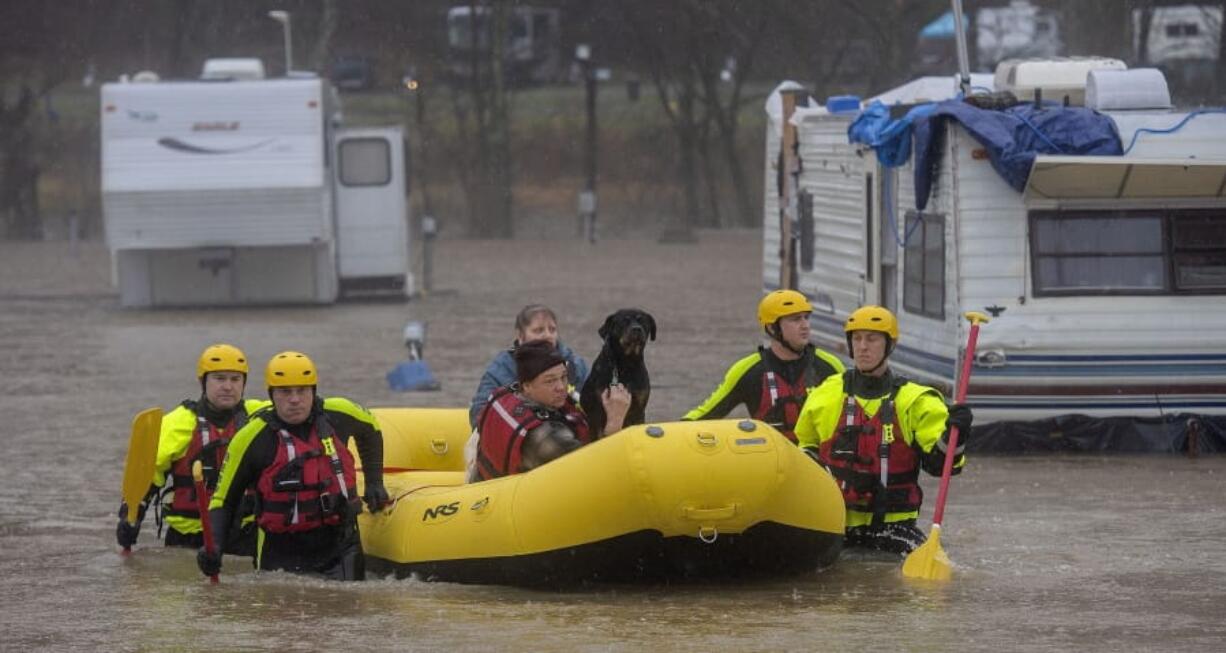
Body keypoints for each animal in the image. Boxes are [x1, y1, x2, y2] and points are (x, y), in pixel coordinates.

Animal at [578, 306, 657, 438]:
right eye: (624, 321)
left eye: (643, 321)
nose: (637, 329)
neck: (626, 363)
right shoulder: (598, 412)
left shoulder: (639, 410)